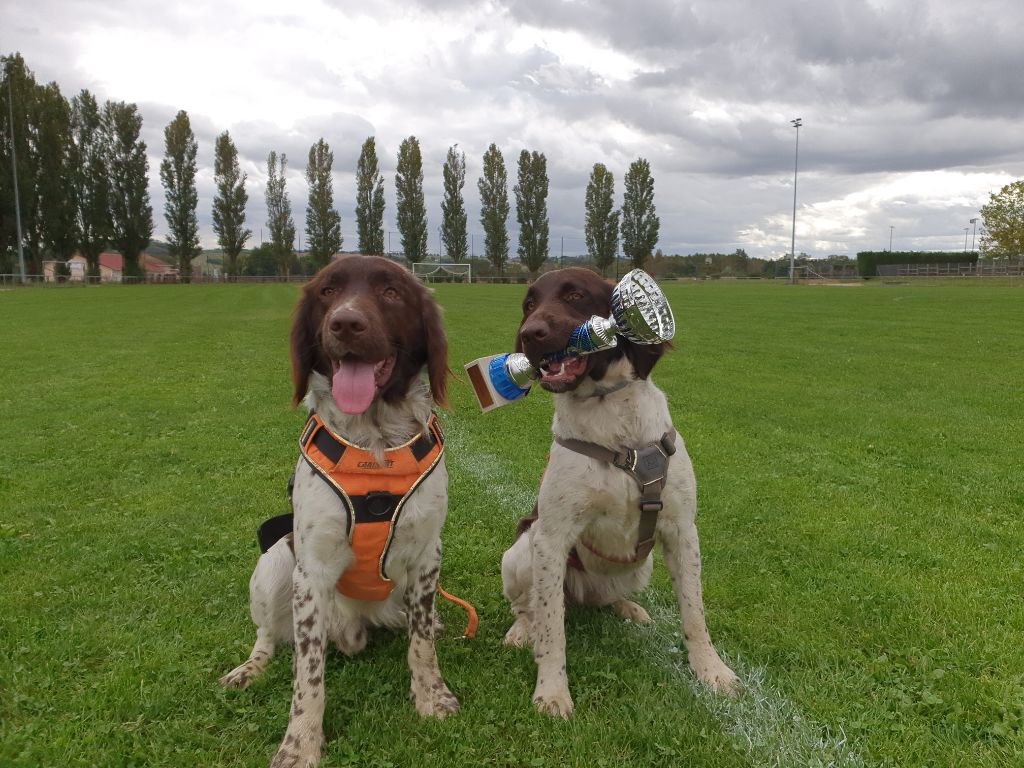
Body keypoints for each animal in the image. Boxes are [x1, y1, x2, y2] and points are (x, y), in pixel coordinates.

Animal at [222, 257, 458, 768]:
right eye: (327, 291)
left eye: (391, 292)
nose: (346, 323)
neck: (374, 444)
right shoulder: (310, 571)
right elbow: (307, 675)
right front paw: (300, 743)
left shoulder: (427, 555)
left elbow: (422, 647)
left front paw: (431, 697)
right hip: (275, 559)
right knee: (268, 636)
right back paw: (248, 669)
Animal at [501, 268, 737, 720]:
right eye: (528, 303)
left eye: (575, 295)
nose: (529, 334)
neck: (612, 420)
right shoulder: (551, 538)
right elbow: (552, 629)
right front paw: (552, 692)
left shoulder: (682, 530)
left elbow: (694, 613)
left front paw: (710, 670)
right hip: (521, 549)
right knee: (532, 607)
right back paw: (522, 630)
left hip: (639, 567)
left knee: (606, 598)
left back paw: (628, 608)